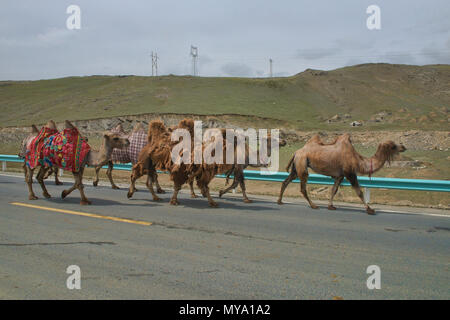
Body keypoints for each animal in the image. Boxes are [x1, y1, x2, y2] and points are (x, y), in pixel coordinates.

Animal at [276, 133, 406, 215]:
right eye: (393, 146)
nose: (403, 147)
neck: (358, 160)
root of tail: (296, 152)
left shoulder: (340, 175)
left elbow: (333, 190)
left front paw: (331, 206)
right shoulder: (350, 173)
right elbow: (359, 192)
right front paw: (370, 209)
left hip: (297, 165)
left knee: (287, 180)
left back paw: (280, 201)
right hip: (302, 163)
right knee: (303, 187)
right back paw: (314, 205)